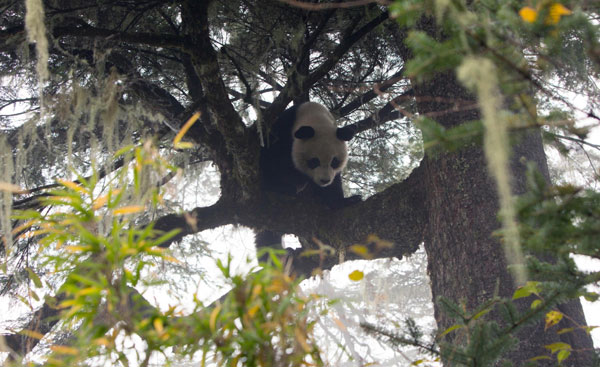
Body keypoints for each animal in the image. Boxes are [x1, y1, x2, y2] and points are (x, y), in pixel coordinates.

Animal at [256, 100, 360, 250]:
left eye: (334, 161)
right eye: (314, 161)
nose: (324, 180)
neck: (315, 116)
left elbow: (334, 185)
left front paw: (346, 201)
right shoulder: (281, 129)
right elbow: (270, 157)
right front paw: (282, 186)